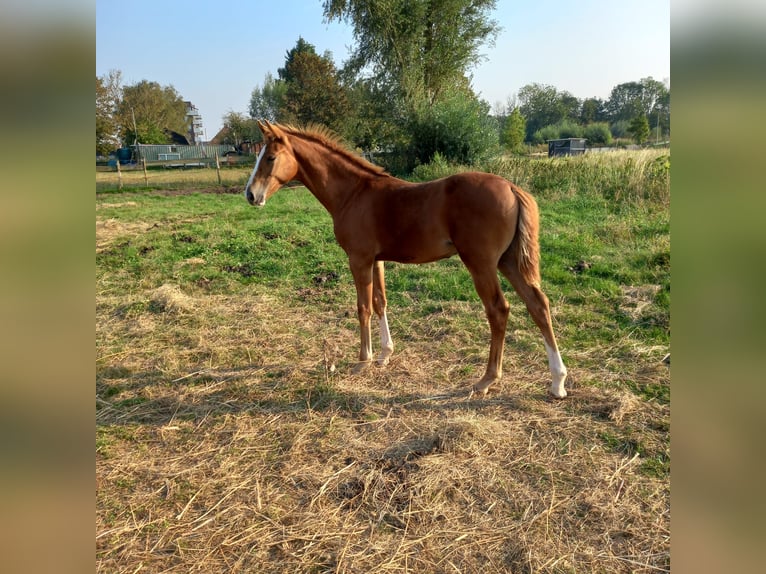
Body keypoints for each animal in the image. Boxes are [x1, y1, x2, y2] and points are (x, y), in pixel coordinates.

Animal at [248, 121, 568, 400]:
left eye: (271, 157)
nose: (250, 195)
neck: (353, 193)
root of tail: (512, 188)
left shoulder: (358, 259)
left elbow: (363, 307)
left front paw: (362, 361)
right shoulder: (376, 260)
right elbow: (380, 302)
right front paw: (384, 355)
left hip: (481, 263)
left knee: (498, 310)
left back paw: (487, 380)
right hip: (508, 262)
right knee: (538, 305)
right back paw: (557, 382)